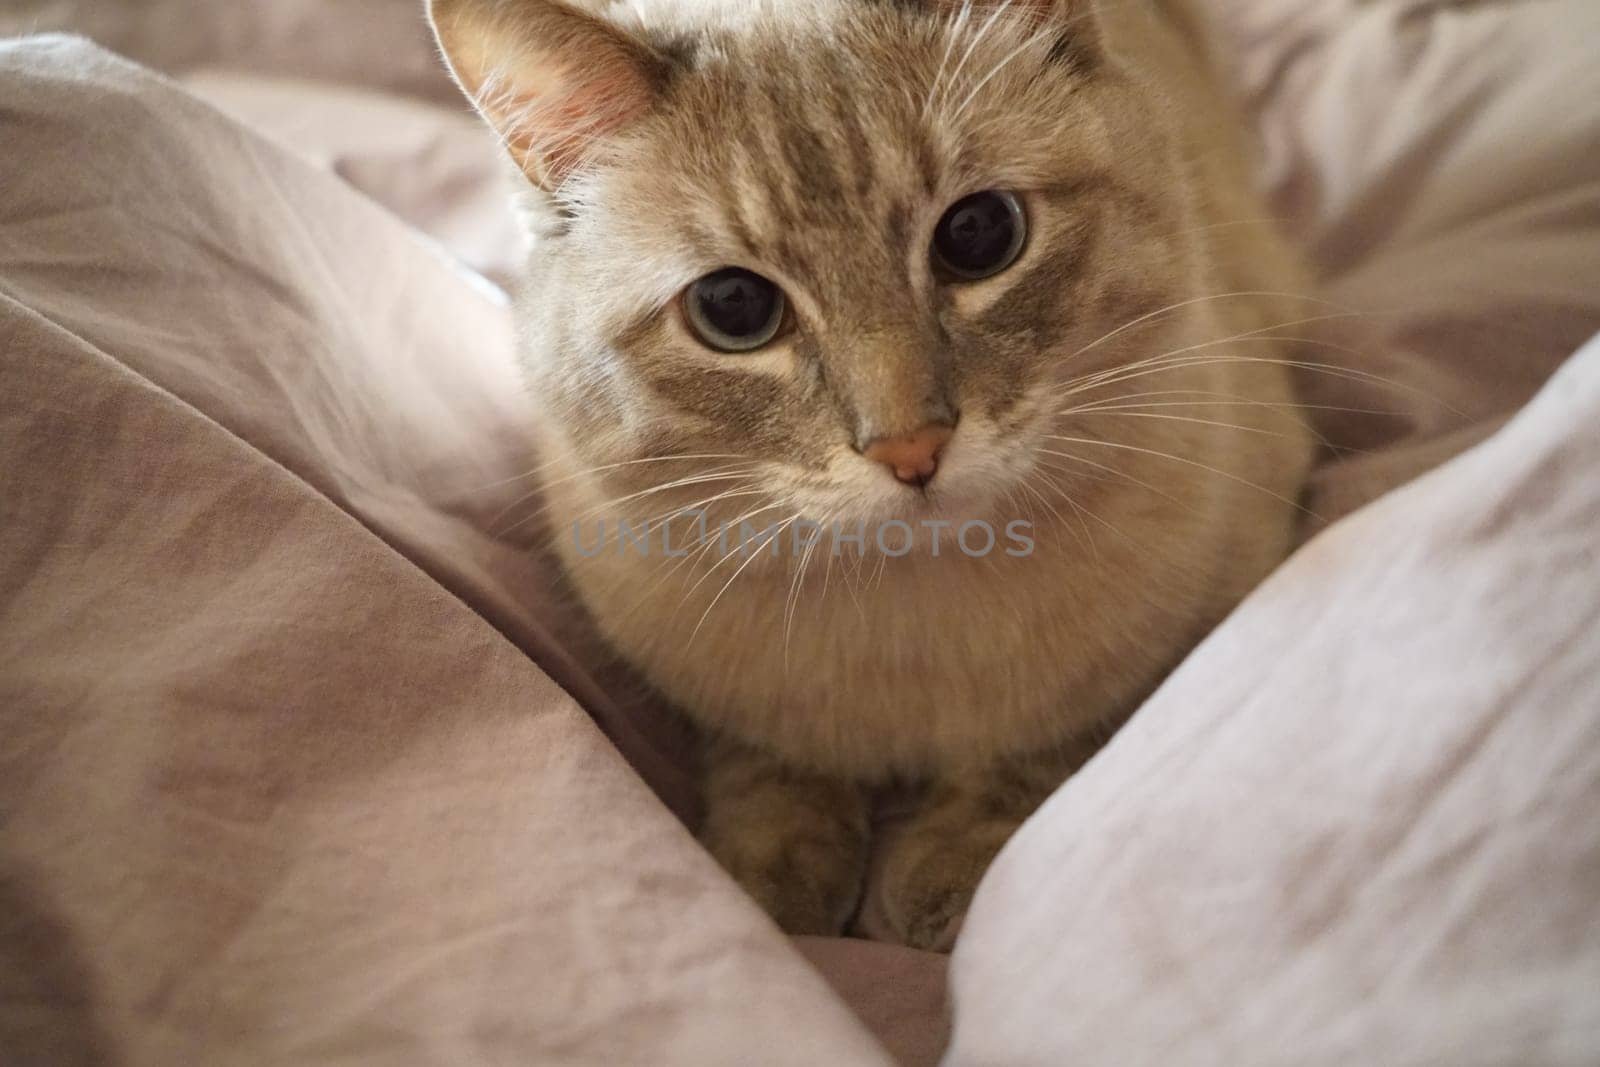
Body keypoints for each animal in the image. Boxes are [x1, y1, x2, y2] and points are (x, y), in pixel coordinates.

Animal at [425, 0, 1312, 953]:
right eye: (733, 308)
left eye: (978, 235)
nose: (911, 446)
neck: (910, 612)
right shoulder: (711, 690)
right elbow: (769, 765)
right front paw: (773, 884)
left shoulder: (1214, 598)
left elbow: (1053, 739)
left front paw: (948, 871)